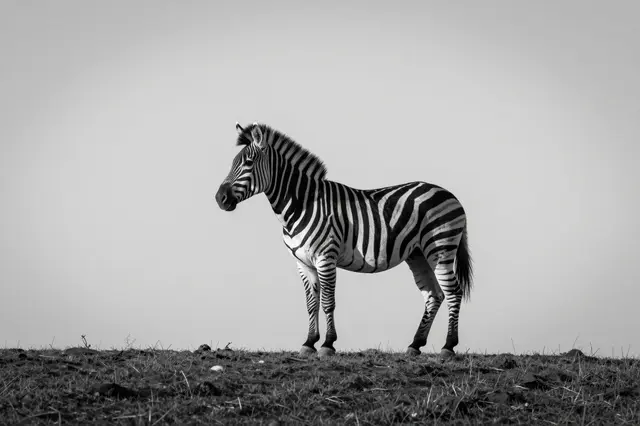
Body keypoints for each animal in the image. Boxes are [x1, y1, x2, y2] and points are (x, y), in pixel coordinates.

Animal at [215, 122, 473, 358]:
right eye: (232, 163)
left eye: (248, 163)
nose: (220, 198)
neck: (302, 204)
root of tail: (450, 195)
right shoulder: (303, 263)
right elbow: (311, 303)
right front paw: (309, 342)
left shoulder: (325, 257)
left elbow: (328, 301)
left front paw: (328, 344)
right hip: (418, 254)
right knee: (434, 295)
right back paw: (415, 345)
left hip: (440, 247)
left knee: (453, 292)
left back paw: (448, 347)